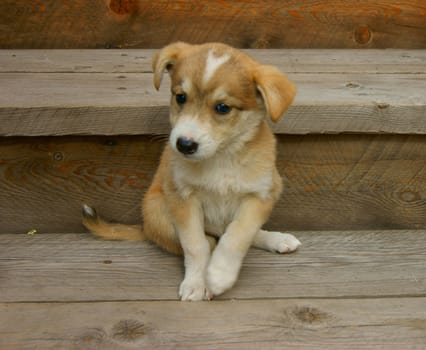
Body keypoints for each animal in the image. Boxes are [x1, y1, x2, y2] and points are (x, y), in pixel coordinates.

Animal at [82, 42, 300, 300]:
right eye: (181, 97)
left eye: (223, 107)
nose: (184, 145)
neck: (221, 158)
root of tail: (145, 228)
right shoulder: (182, 197)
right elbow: (196, 245)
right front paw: (197, 283)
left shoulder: (263, 194)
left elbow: (238, 235)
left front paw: (219, 276)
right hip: (158, 212)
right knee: (209, 241)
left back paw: (277, 239)